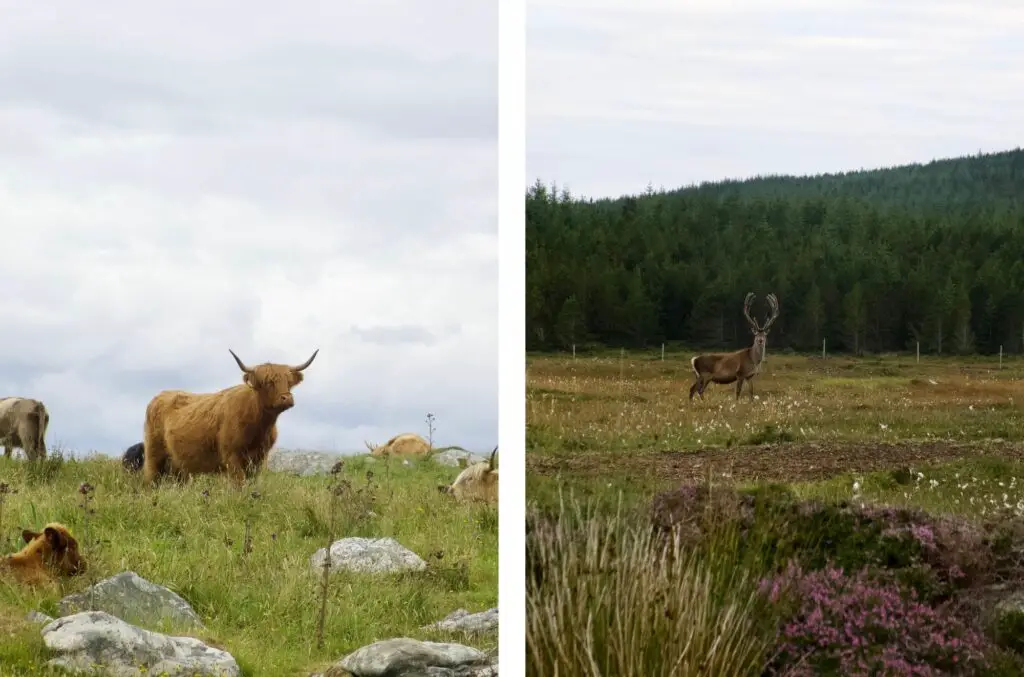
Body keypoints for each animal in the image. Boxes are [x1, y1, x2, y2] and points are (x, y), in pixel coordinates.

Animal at [140, 348, 315, 485]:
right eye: (267, 382)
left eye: (289, 382)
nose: (287, 398)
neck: (259, 425)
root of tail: (159, 395)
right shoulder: (232, 456)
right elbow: (239, 484)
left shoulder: (259, 459)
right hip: (154, 455)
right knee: (151, 480)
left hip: (178, 465)